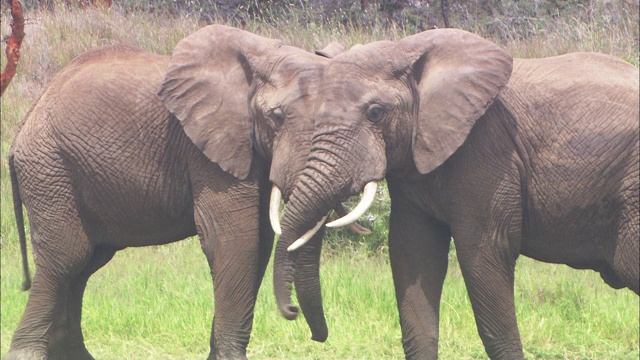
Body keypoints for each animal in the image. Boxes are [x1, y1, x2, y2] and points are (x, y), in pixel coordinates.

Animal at [6, 23, 350, 358]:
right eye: (276, 116)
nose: (294, 314)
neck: (263, 52)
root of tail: (24, 123)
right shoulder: (206, 147)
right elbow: (233, 238)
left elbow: (260, 242)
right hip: (50, 168)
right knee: (67, 258)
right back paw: (25, 353)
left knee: (86, 262)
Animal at [272, 28, 640, 360]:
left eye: (376, 113)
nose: (293, 314)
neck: (406, 49)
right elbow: (414, 255)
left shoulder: (488, 150)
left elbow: (485, 255)